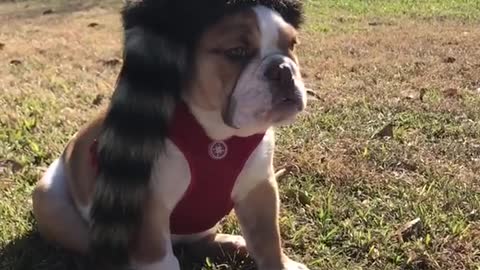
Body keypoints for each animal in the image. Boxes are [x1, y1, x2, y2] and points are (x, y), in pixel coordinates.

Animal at [31, 1, 310, 268]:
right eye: (236, 52)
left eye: (292, 44)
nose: (283, 68)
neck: (217, 134)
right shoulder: (146, 206)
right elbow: (162, 259)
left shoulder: (260, 189)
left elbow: (268, 241)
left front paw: (282, 264)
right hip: (51, 201)